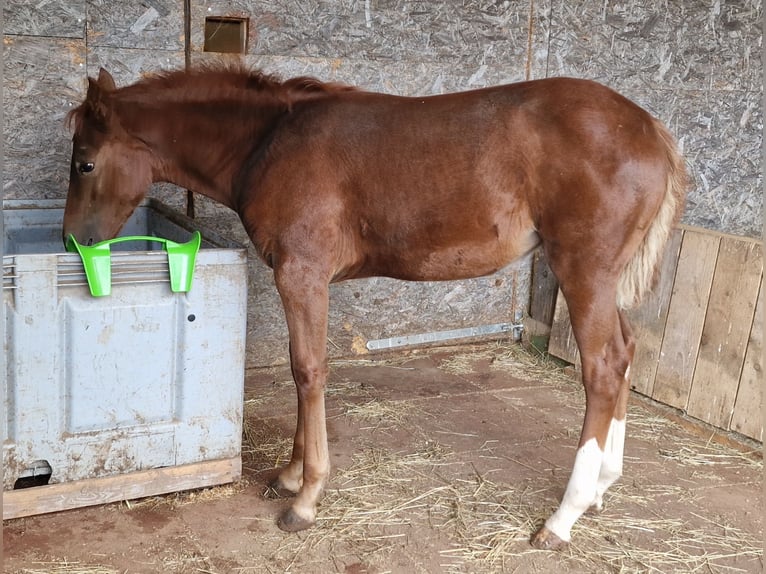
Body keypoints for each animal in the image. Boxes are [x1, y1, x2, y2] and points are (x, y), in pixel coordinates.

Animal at [64, 66, 688, 548]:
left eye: (85, 163)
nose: (72, 240)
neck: (270, 142)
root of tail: (651, 129)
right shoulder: (307, 280)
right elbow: (301, 369)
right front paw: (290, 474)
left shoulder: (301, 274)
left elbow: (308, 371)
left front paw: (306, 497)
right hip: (603, 281)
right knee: (624, 354)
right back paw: (603, 486)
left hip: (583, 271)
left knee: (601, 368)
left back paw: (563, 517)